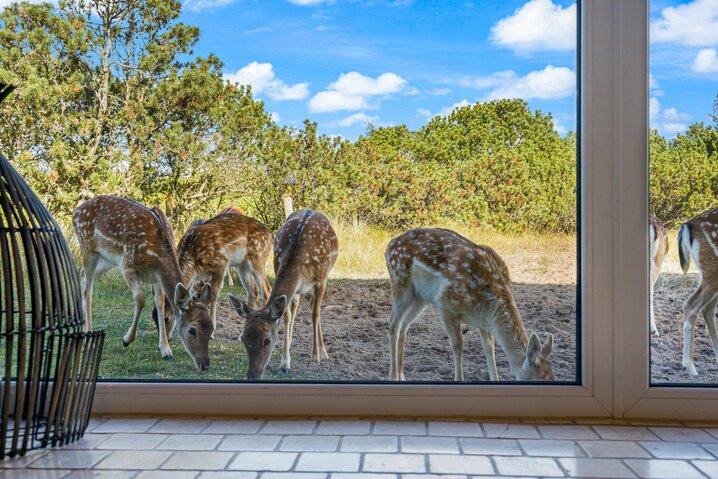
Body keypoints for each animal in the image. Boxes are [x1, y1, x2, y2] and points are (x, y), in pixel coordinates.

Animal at [73, 195, 214, 372]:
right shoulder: (127, 266)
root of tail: (76, 211)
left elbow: (160, 303)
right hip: (87, 247)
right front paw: (126, 339)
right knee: (87, 286)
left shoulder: (156, 277)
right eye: (192, 330)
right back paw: (88, 334)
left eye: (211, 330)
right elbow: (140, 299)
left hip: (107, 259)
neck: (157, 256)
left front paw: (166, 350)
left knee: (82, 274)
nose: (205, 364)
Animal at [231, 212, 344, 380]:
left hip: (326, 274)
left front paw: (315, 355)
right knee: (294, 308)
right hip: (297, 291)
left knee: (315, 309)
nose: (252, 375)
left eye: (267, 340)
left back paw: (323, 352)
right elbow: (286, 316)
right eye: (243, 338)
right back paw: (290, 342)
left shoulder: (321, 280)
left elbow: (315, 314)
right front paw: (285, 363)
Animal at [388, 229, 556, 382]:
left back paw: (402, 375)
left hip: (419, 297)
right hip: (400, 283)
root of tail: (389, 245)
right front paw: (459, 379)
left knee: (404, 326)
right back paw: (394, 376)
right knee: (393, 325)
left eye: (552, 377)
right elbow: (458, 345)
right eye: (539, 379)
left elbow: (489, 347)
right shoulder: (445, 305)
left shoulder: (483, 321)